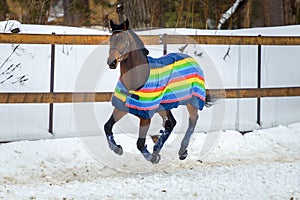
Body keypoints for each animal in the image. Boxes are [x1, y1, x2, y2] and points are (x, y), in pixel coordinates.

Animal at [103, 18, 209, 163]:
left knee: (192, 121)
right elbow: (107, 127)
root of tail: (192, 59)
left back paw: (181, 151)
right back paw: (157, 149)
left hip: (192, 101)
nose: (112, 62)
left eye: (124, 40)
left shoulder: (146, 115)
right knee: (171, 123)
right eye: (111, 39)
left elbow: (140, 143)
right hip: (163, 106)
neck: (137, 79)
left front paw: (152, 157)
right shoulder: (122, 108)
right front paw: (117, 148)